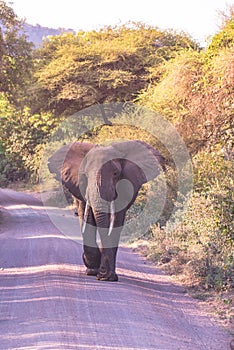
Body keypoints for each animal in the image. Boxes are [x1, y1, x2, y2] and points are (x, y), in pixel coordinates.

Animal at [48, 139, 165, 282]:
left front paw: (107, 276)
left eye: (115, 174)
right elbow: (87, 215)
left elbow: (116, 220)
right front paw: (95, 271)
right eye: (85, 175)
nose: (103, 274)